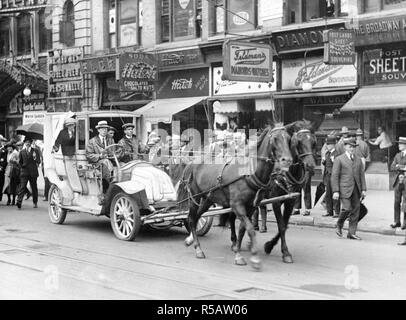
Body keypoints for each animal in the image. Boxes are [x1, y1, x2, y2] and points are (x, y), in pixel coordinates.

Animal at [177, 125, 292, 270]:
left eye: (289, 138)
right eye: (275, 138)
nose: (287, 160)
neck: (249, 174)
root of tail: (192, 163)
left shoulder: (251, 207)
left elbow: (243, 228)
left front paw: (239, 248)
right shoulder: (237, 205)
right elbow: (250, 229)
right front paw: (249, 257)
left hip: (208, 199)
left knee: (196, 217)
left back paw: (190, 239)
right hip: (194, 197)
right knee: (192, 218)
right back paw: (198, 249)